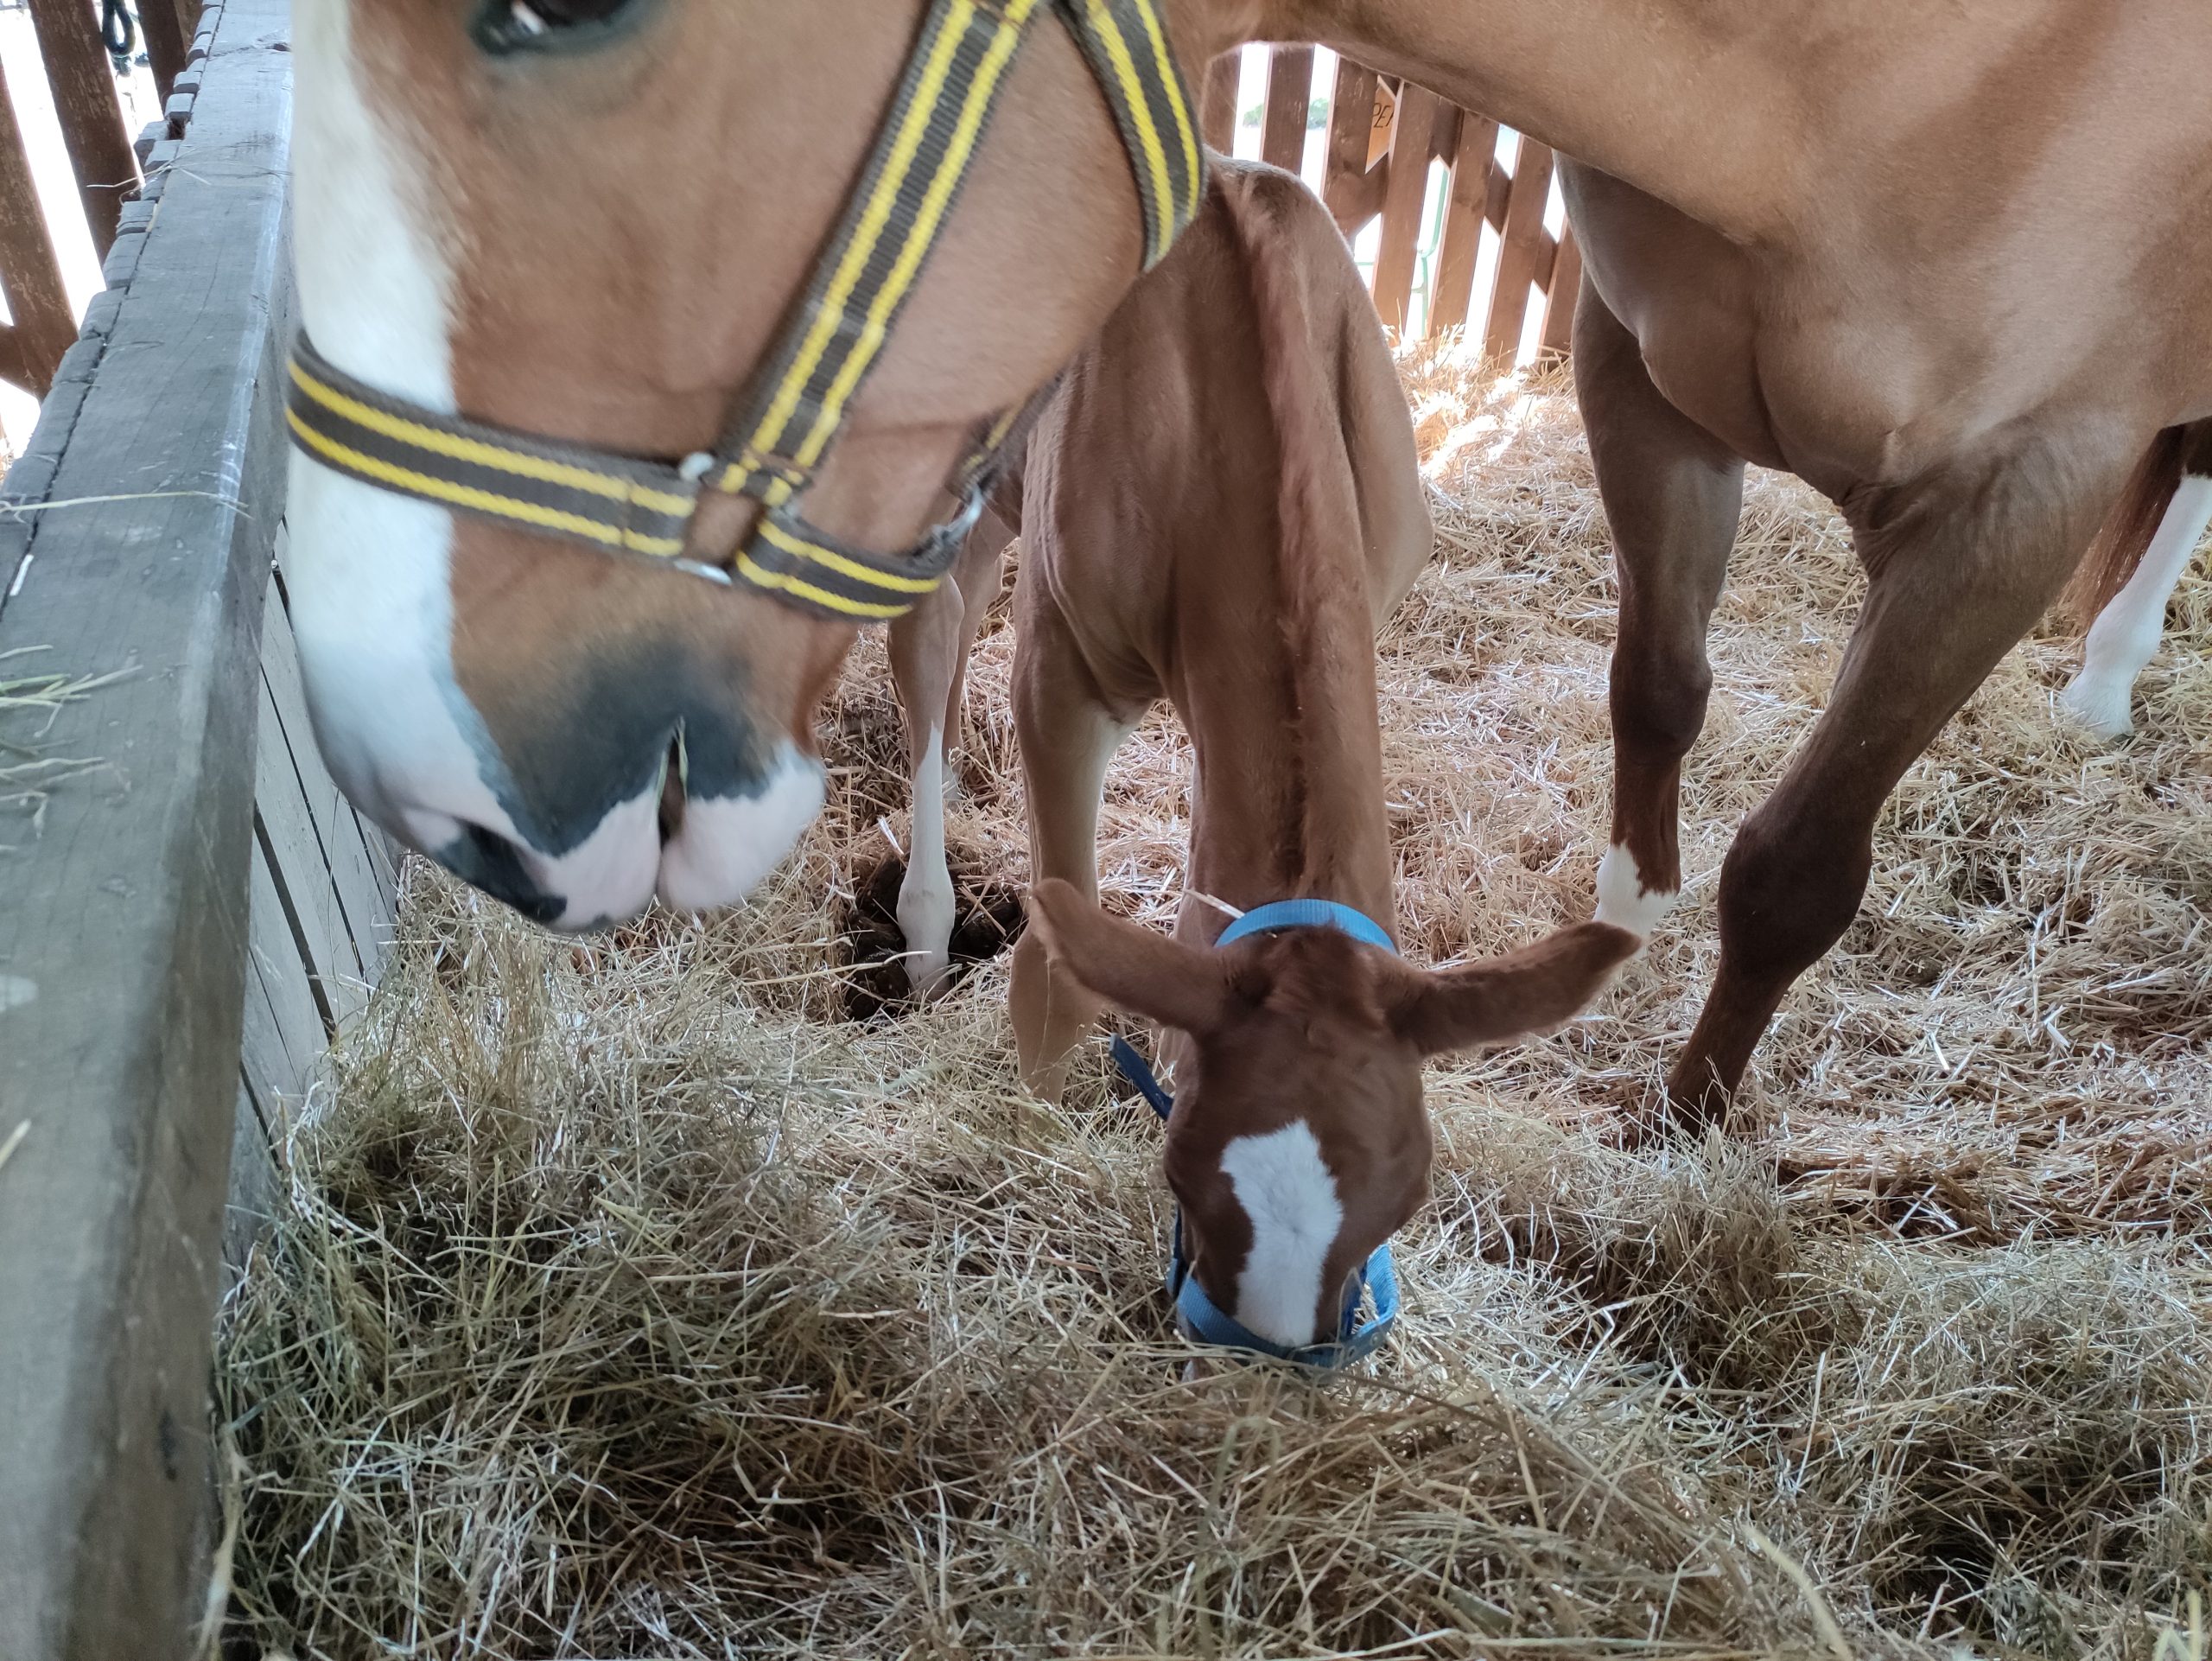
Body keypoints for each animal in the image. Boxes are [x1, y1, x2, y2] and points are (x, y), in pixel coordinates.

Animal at [285, 0, 2202, 1132]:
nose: (445, 783)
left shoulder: (2024, 481)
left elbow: (1791, 856)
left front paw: (1685, 1105)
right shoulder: (1636, 369)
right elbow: (1651, 681)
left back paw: (2108, 684)